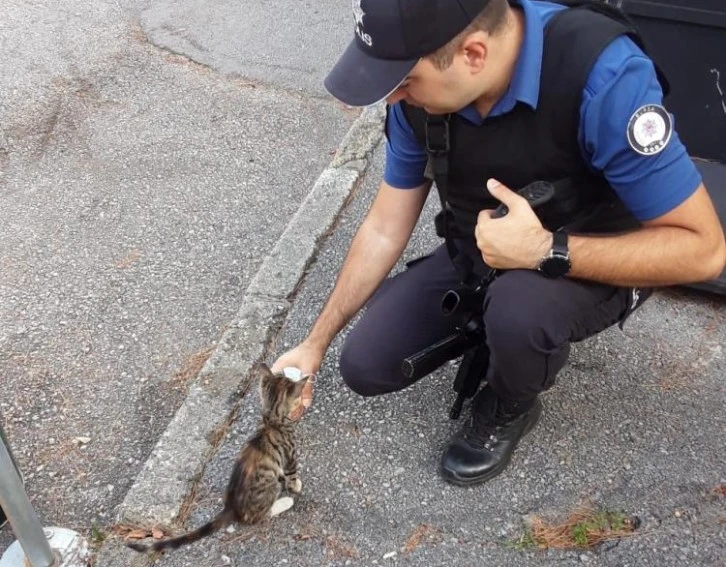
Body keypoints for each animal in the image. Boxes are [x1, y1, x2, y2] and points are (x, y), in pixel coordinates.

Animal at [126, 364, 308, 556]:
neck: (272, 419)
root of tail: (231, 507)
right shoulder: (290, 455)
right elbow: (292, 475)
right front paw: (296, 486)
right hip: (270, 488)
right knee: (257, 516)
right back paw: (284, 502)